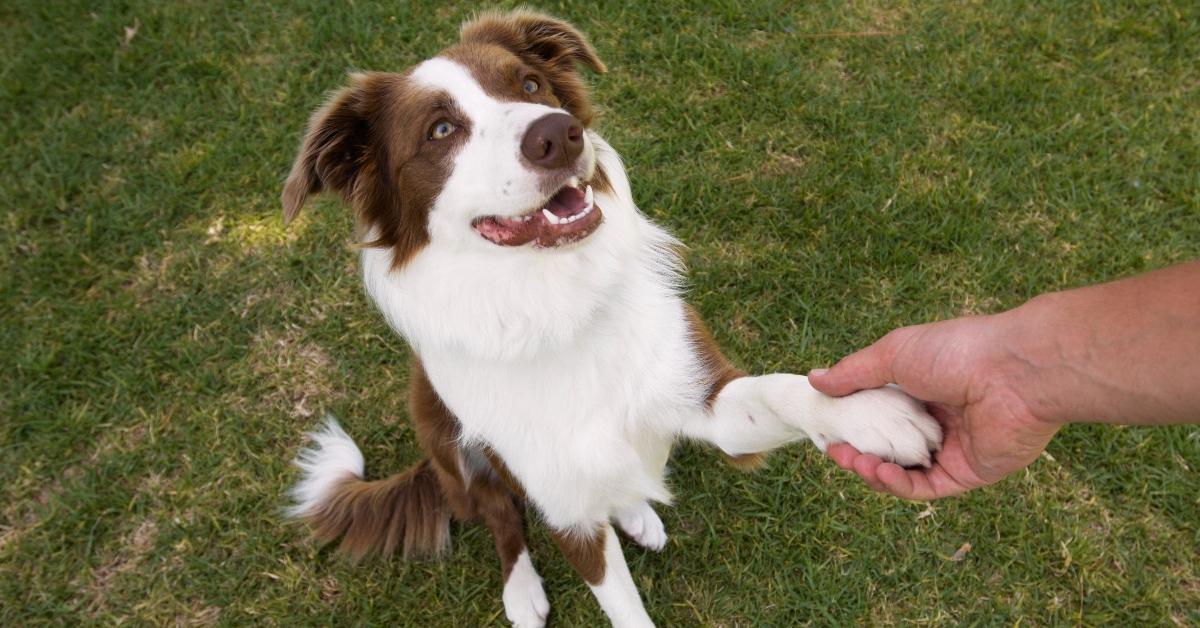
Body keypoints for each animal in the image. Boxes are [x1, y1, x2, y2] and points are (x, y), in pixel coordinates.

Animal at [285, 11, 940, 628]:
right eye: (441, 130)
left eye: (531, 83)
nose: (556, 132)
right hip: (442, 433)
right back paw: (522, 589)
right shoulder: (565, 507)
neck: (554, 303)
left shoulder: (702, 394)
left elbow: (779, 389)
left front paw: (868, 412)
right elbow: (617, 602)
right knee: (499, 514)